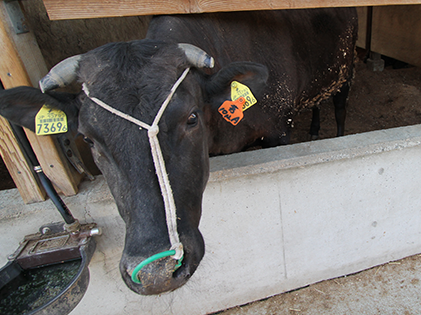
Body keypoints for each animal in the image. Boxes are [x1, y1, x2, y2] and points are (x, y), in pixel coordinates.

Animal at [0, 8, 356, 296]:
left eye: (191, 118)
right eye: (88, 139)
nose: (156, 272)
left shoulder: (279, 130)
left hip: (344, 71)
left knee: (339, 105)